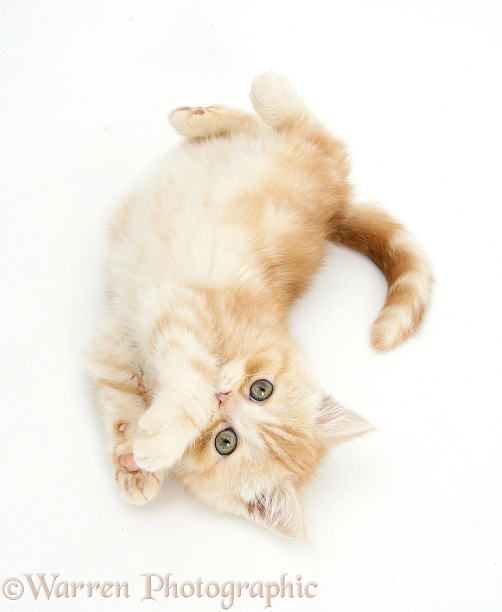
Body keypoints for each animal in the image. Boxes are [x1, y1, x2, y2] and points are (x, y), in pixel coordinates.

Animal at [87, 71, 432, 536]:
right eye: (261, 390)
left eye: (225, 442)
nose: (222, 397)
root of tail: (335, 210)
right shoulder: (184, 308)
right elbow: (188, 383)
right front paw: (161, 437)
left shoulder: (128, 335)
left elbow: (119, 391)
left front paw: (139, 461)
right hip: (305, 162)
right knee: (311, 134)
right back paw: (234, 101)